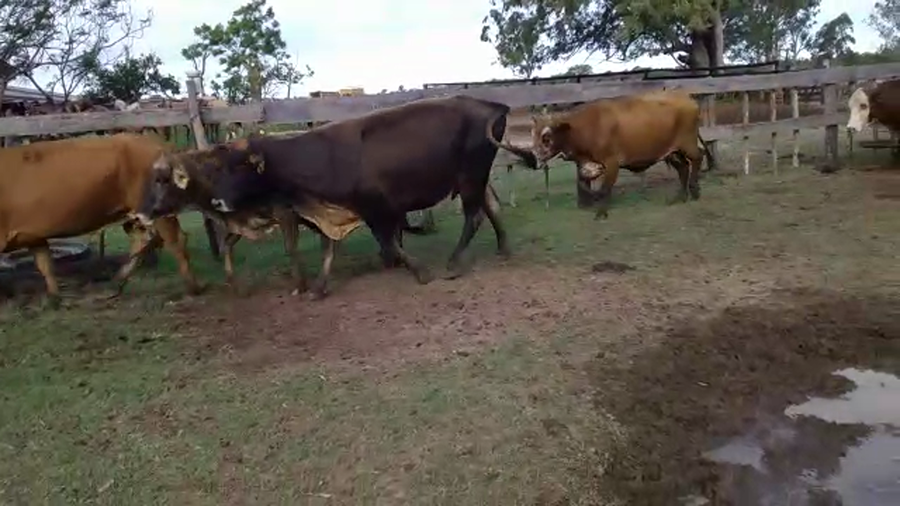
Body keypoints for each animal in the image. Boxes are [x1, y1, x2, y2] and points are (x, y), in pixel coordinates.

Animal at [0, 133, 204, 307]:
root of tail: (157, 144)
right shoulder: (34, 235)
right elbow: (45, 265)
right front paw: (54, 299)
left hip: (159, 211)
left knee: (176, 241)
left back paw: (192, 288)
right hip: (134, 215)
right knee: (143, 240)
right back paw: (115, 284)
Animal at [134, 95, 525, 299]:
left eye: (240, 168)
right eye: (219, 169)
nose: (218, 202)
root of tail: (492, 104)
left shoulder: (375, 209)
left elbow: (389, 242)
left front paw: (418, 270)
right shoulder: (329, 211)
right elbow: (329, 249)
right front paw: (320, 286)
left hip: (470, 178)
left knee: (475, 215)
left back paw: (456, 261)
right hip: (475, 179)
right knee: (491, 208)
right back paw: (504, 249)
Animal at [487, 90, 715, 219]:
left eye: (546, 137)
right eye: (532, 135)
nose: (534, 160)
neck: (584, 127)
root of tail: (686, 98)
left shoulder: (612, 162)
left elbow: (605, 189)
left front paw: (601, 212)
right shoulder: (587, 164)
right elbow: (586, 186)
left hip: (686, 143)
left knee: (697, 157)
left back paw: (694, 191)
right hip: (670, 151)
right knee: (683, 167)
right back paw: (680, 196)